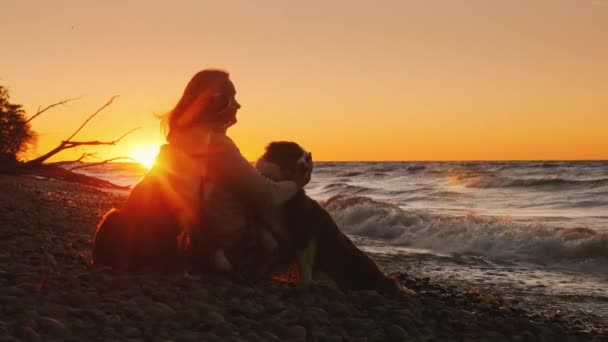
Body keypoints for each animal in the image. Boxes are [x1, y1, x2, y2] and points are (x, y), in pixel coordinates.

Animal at [255, 140, 404, 296]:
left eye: (306, 158)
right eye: (293, 153)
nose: (306, 167)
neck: (280, 182)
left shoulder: (304, 231)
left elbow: (304, 264)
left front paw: (302, 287)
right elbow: (265, 233)